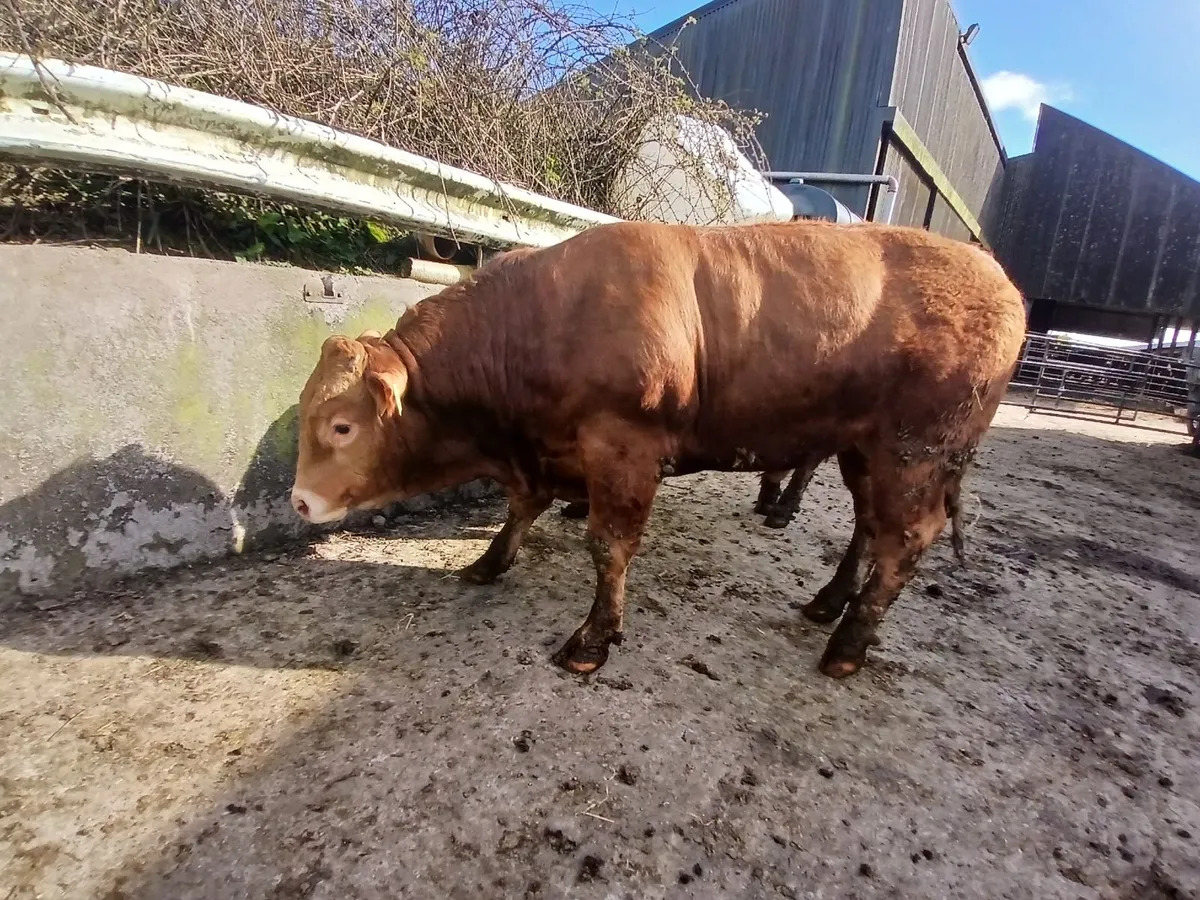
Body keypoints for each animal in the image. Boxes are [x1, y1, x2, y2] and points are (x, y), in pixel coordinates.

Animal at [290, 220, 1025, 678]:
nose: (299, 501)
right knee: (869, 527)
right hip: (864, 449)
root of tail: (995, 276)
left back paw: (848, 643)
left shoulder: (623, 446)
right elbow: (521, 507)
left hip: (915, 451)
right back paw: (829, 601)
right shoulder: (544, 451)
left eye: (342, 426)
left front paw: (594, 638)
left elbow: (608, 546)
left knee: (904, 540)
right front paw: (489, 561)